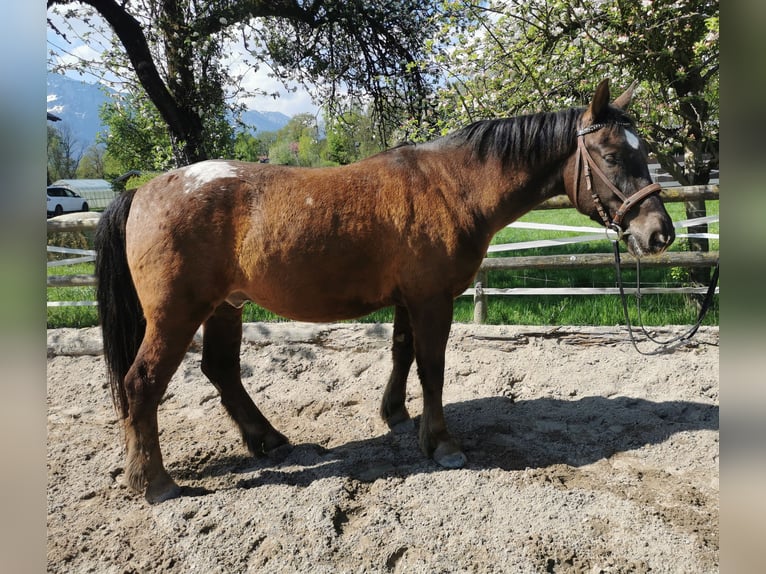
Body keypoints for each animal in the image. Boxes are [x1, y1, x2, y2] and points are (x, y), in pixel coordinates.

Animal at [95, 79, 675, 503]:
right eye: (611, 155)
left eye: (643, 152)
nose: (660, 233)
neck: (452, 185)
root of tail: (143, 191)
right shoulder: (433, 301)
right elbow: (432, 367)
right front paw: (442, 444)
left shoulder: (408, 300)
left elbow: (401, 353)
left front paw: (396, 415)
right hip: (177, 315)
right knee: (141, 383)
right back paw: (155, 483)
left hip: (223, 308)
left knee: (221, 371)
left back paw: (268, 440)